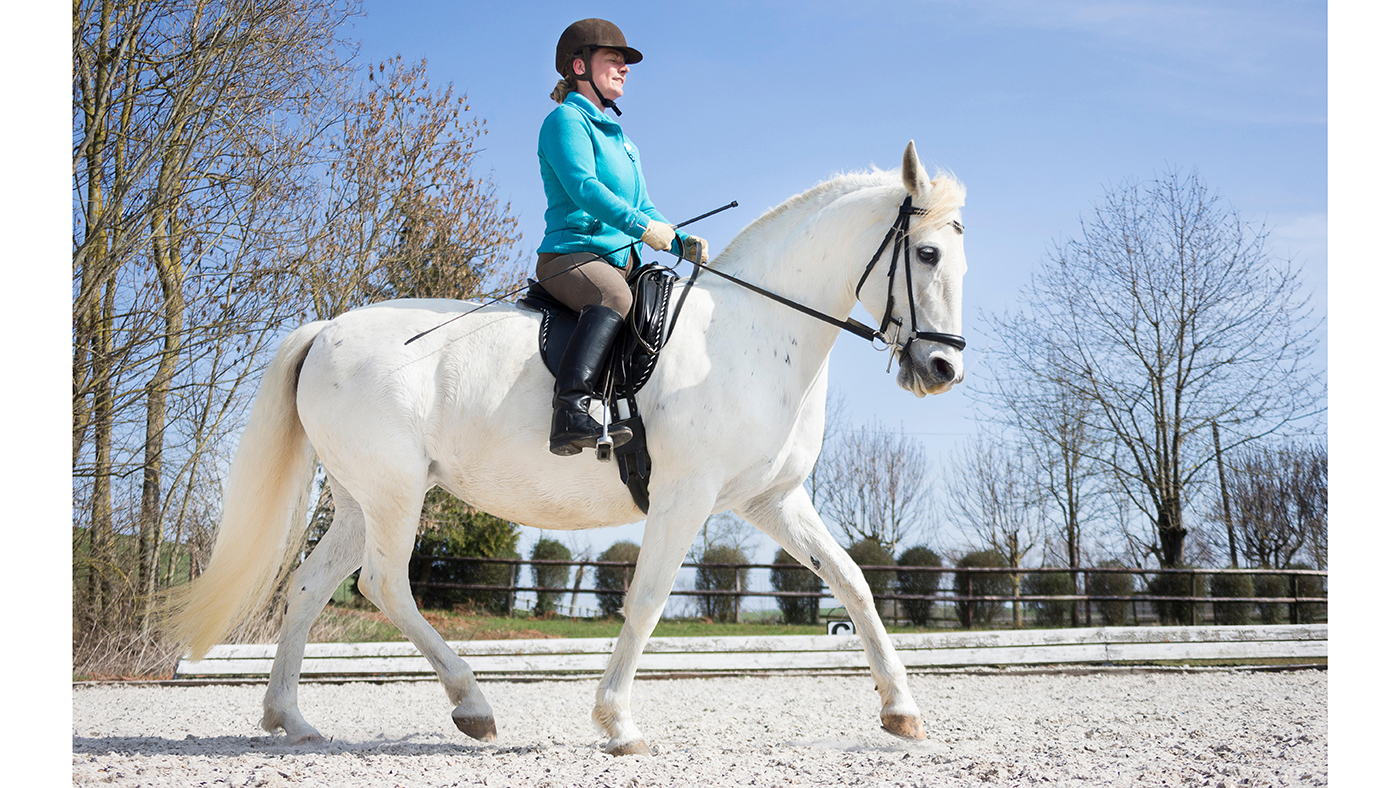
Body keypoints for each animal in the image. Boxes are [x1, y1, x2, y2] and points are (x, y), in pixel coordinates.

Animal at [161, 141, 967, 755]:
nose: (942, 370)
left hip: (361, 497)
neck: (751, 333)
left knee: (310, 586)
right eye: (926, 253)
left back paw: (291, 719)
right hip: (395, 492)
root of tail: (326, 330)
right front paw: (618, 725)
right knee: (384, 586)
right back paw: (473, 706)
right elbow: (648, 598)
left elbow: (854, 583)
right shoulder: (685, 497)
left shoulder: (772, 499)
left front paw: (902, 712)